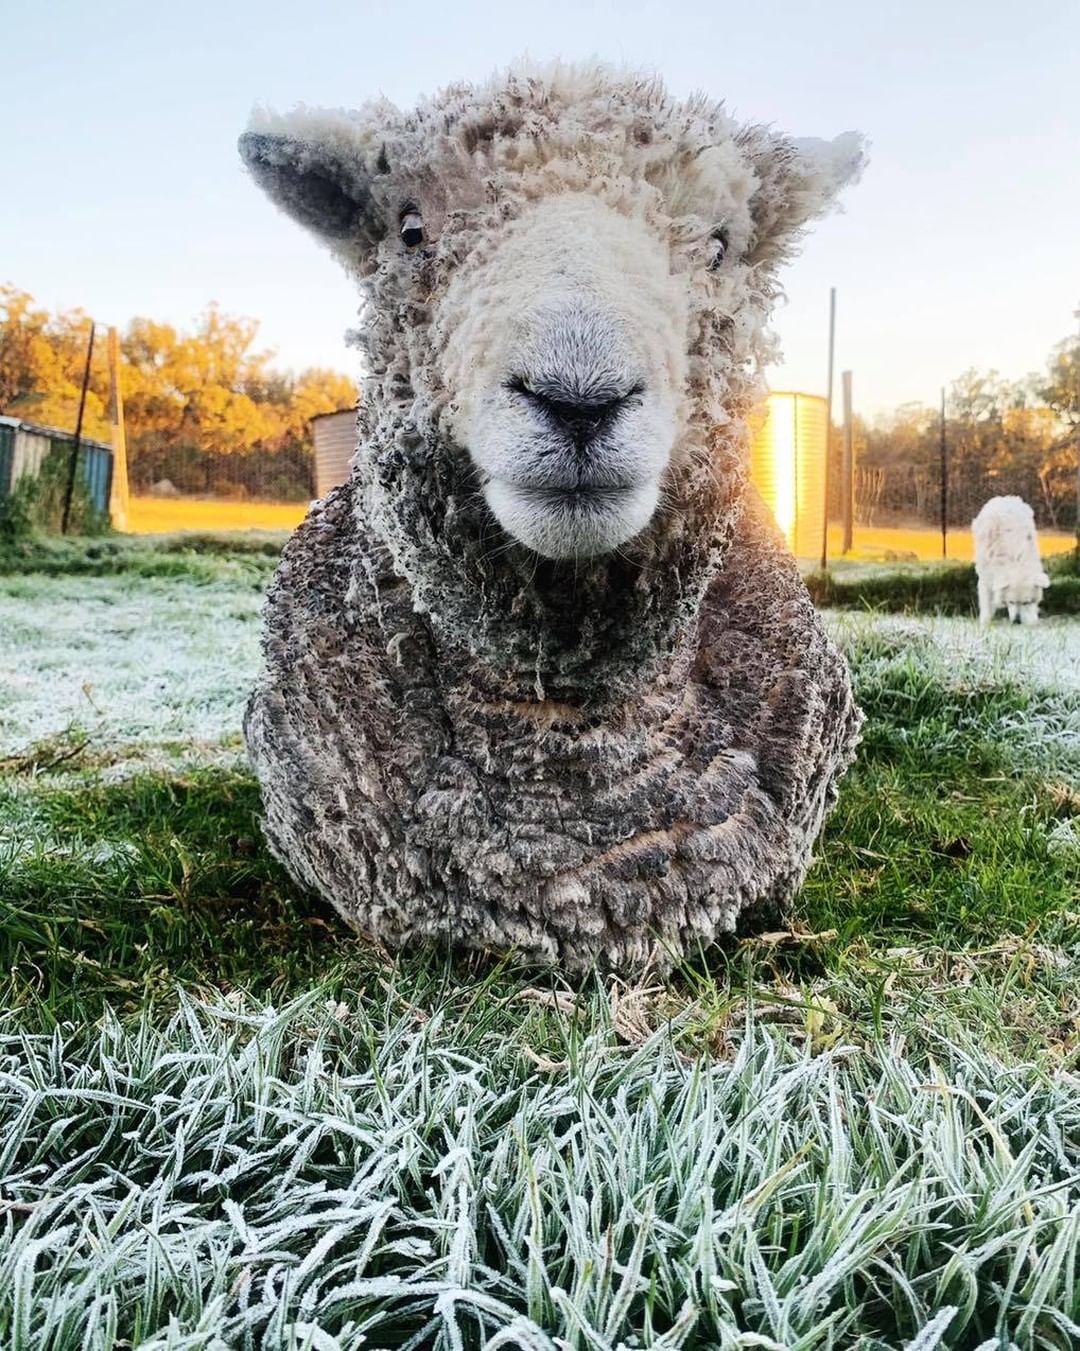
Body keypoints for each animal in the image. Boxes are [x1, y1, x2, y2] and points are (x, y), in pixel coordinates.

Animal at [973, 494, 1054, 624]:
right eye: (1010, 602)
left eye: (1025, 602)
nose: (1017, 621)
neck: (1015, 561)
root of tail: (1005, 498)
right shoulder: (986, 578)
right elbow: (986, 603)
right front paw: (985, 622)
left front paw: (1031, 619)